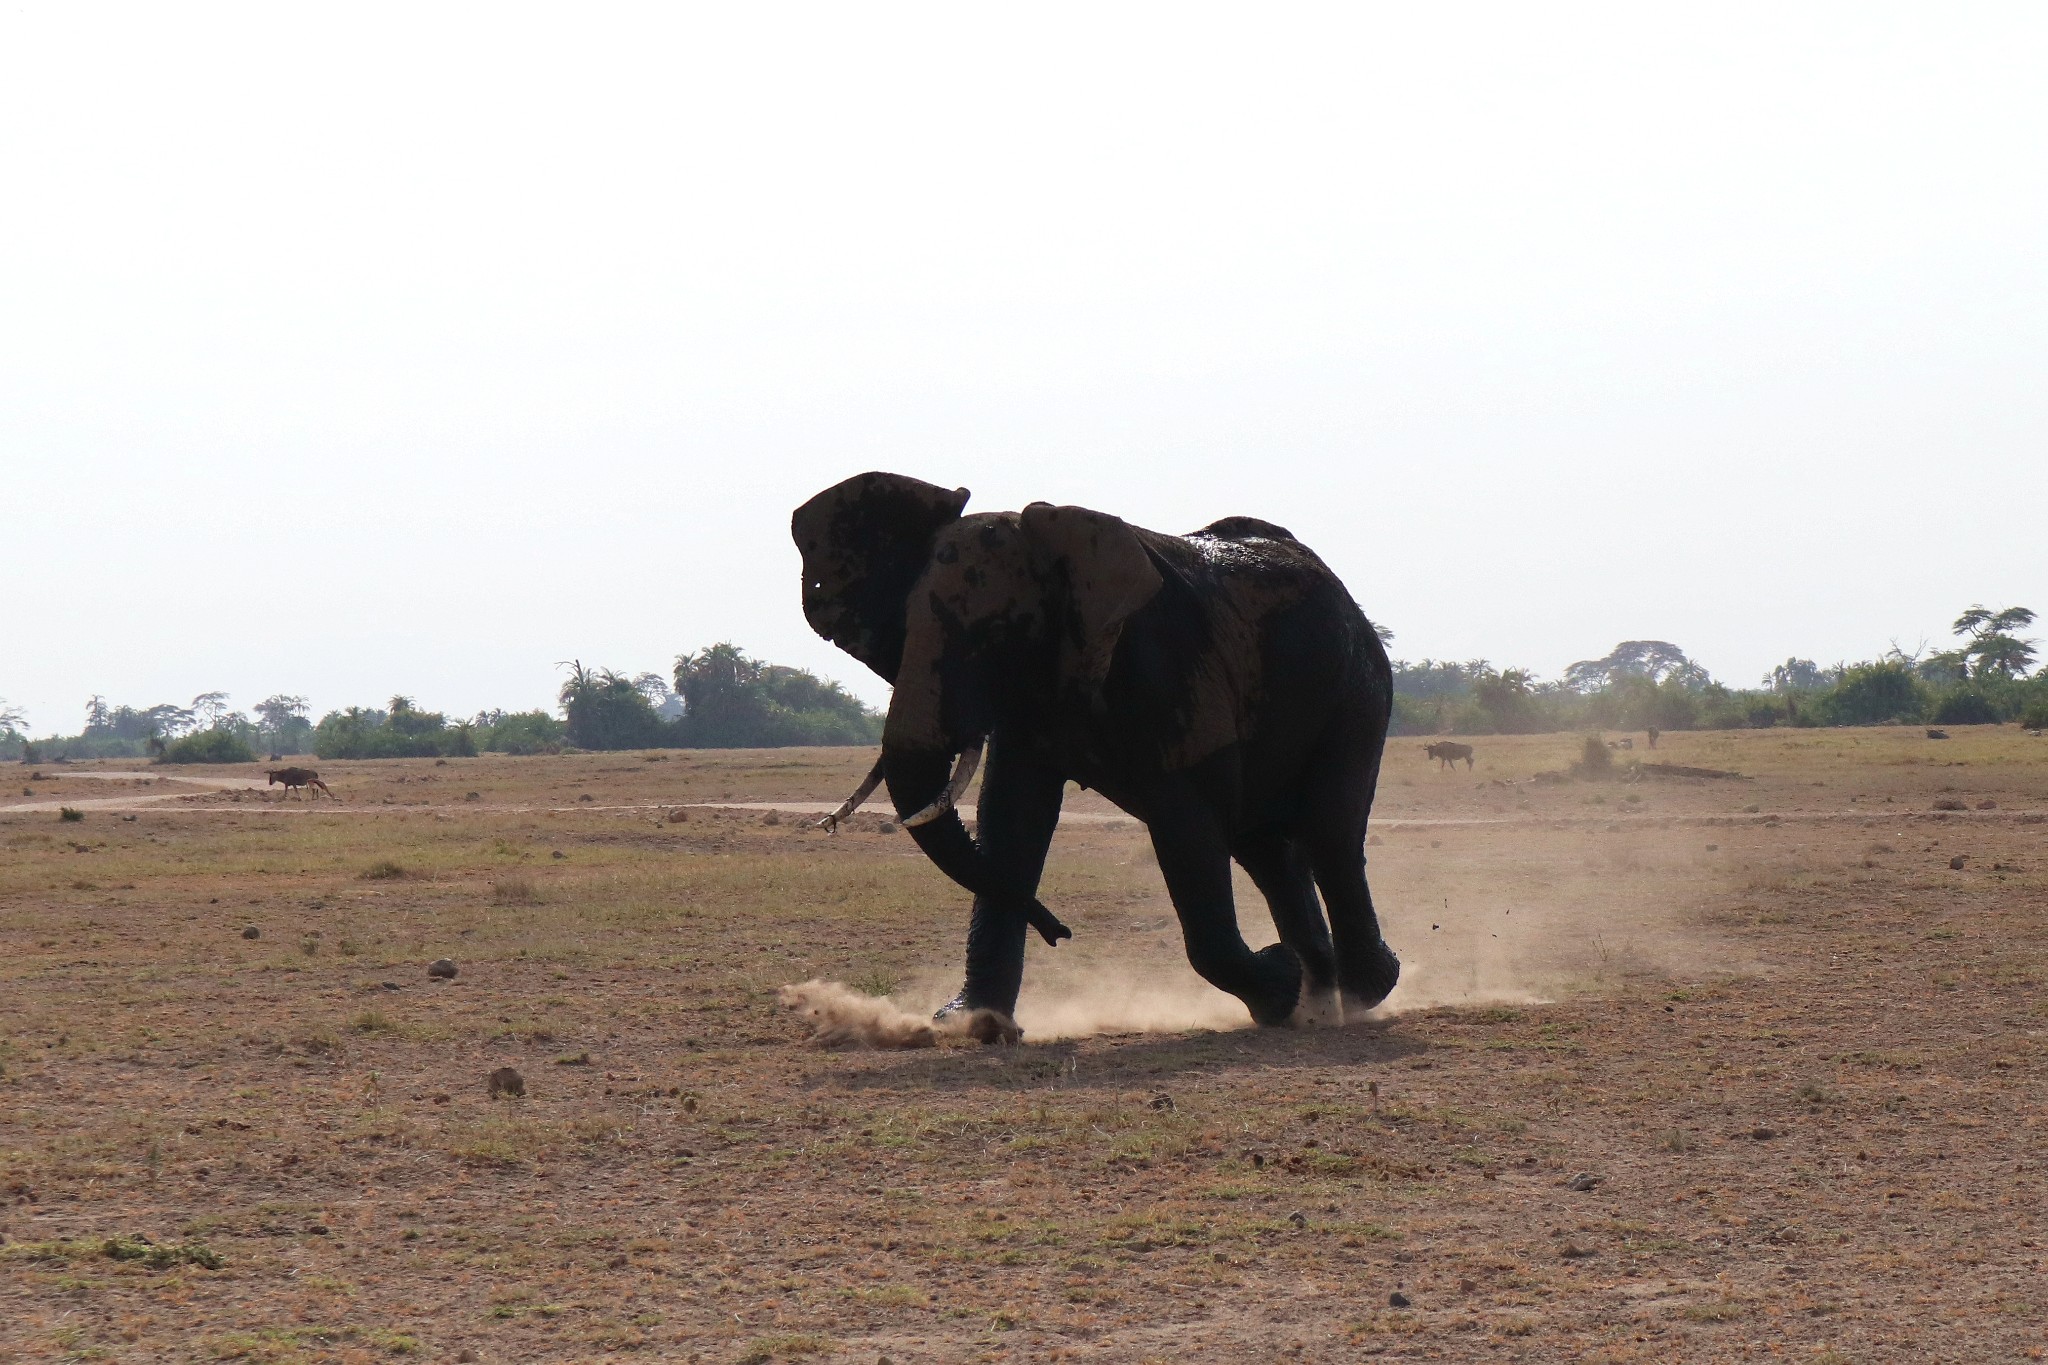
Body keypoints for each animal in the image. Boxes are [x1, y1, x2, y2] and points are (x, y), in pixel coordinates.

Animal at [790, 470, 1400, 1035]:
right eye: (905, 624)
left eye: (994, 633)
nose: (1060, 933)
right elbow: (1011, 818)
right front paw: (974, 1024)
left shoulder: (1171, 667)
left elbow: (1185, 823)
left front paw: (1277, 984)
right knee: (1268, 849)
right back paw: (1318, 1001)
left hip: (1357, 690)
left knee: (1328, 830)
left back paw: (1361, 990)